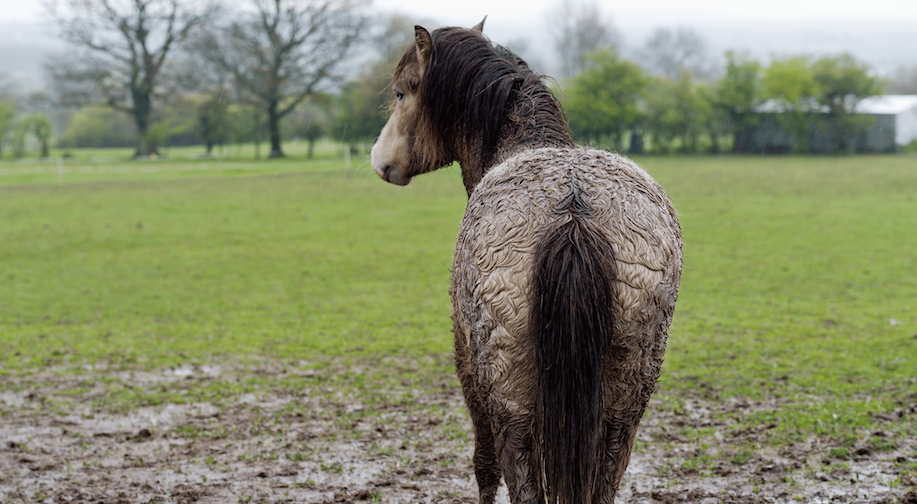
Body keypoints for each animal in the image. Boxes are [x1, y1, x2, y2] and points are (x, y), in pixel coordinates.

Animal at [370, 20, 682, 504]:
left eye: (402, 93)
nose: (380, 160)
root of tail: (573, 212)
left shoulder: (467, 365)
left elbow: (484, 467)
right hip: (623, 407)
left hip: (509, 400)